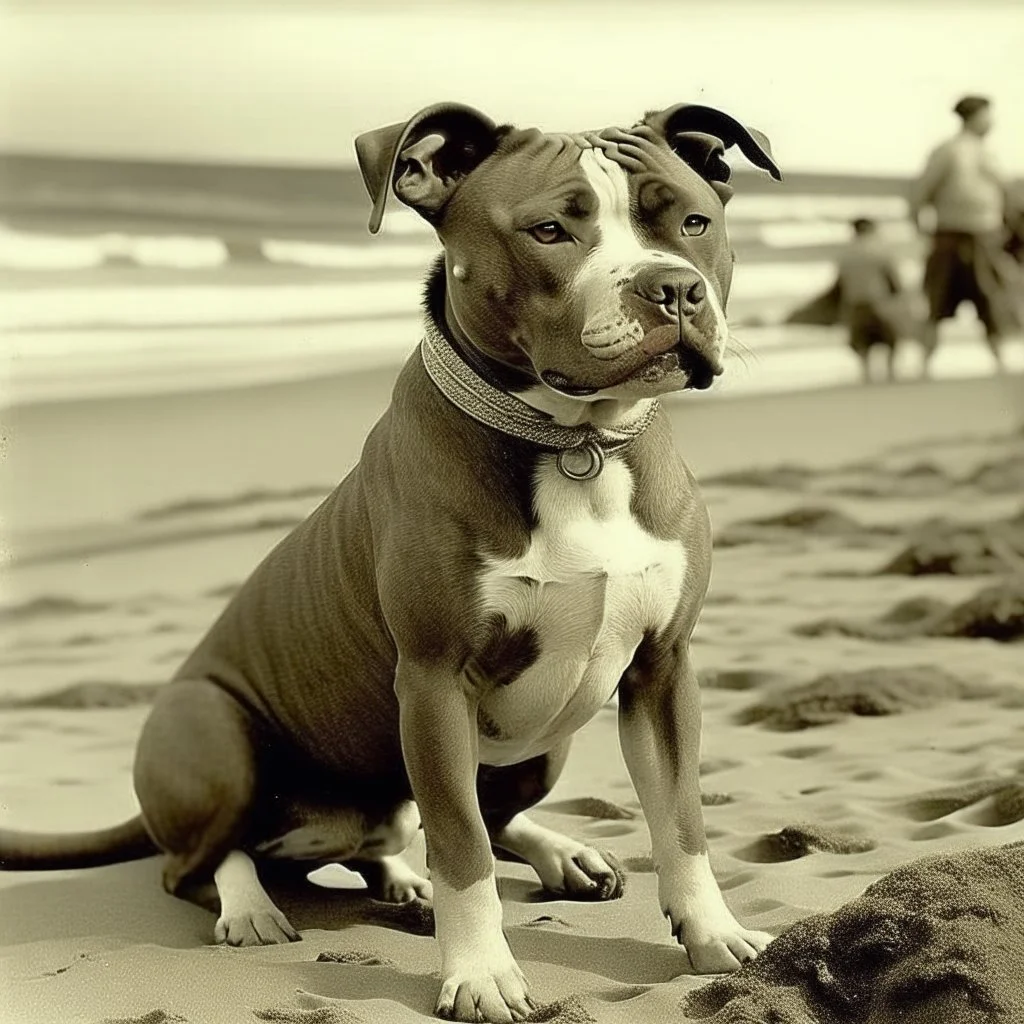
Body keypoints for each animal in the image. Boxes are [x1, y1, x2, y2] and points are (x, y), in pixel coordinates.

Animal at [0, 101, 778, 1015]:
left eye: (693, 221)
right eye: (549, 230)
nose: (673, 287)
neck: (574, 443)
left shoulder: (662, 670)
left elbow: (681, 821)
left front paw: (713, 933)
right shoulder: (435, 684)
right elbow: (463, 848)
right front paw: (480, 973)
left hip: (543, 738)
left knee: (447, 825)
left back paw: (498, 863)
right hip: (212, 733)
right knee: (203, 862)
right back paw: (252, 906)